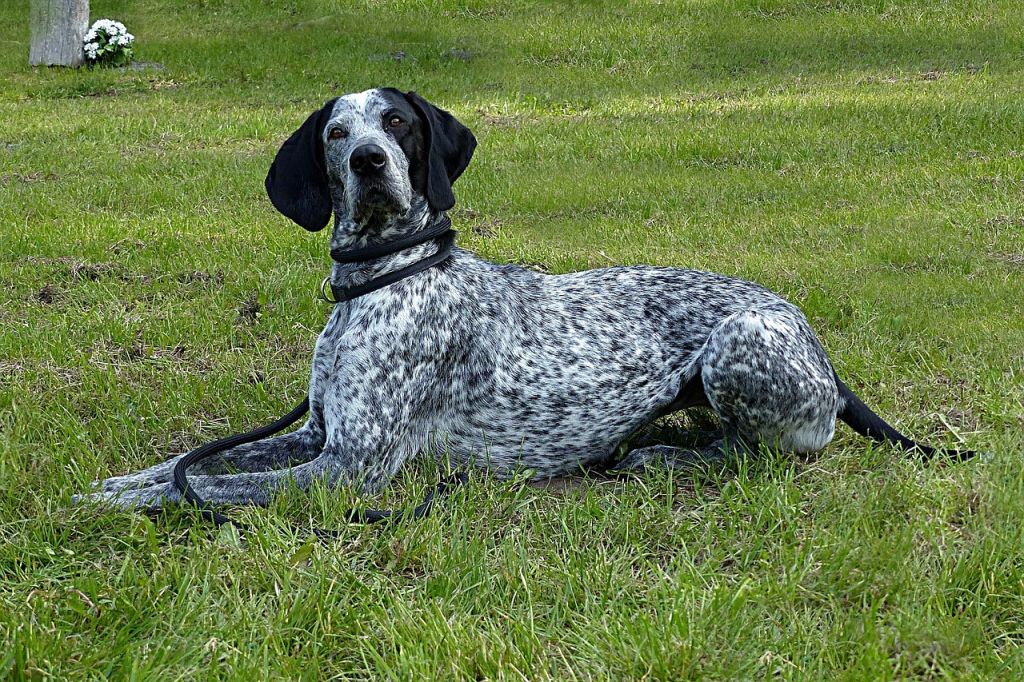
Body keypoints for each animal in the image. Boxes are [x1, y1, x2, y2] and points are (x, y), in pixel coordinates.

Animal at [83, 87, 978, 507]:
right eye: (338, 133)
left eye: (399, 124)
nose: (370, 161)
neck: (384, 280)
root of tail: (814, 340)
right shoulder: (314, 437)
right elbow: (191, 463)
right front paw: (114, 485)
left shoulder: (351, 467)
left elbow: (207, 486)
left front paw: (116, 507)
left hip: (740, 344)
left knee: (774, 451)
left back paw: (661, 456)